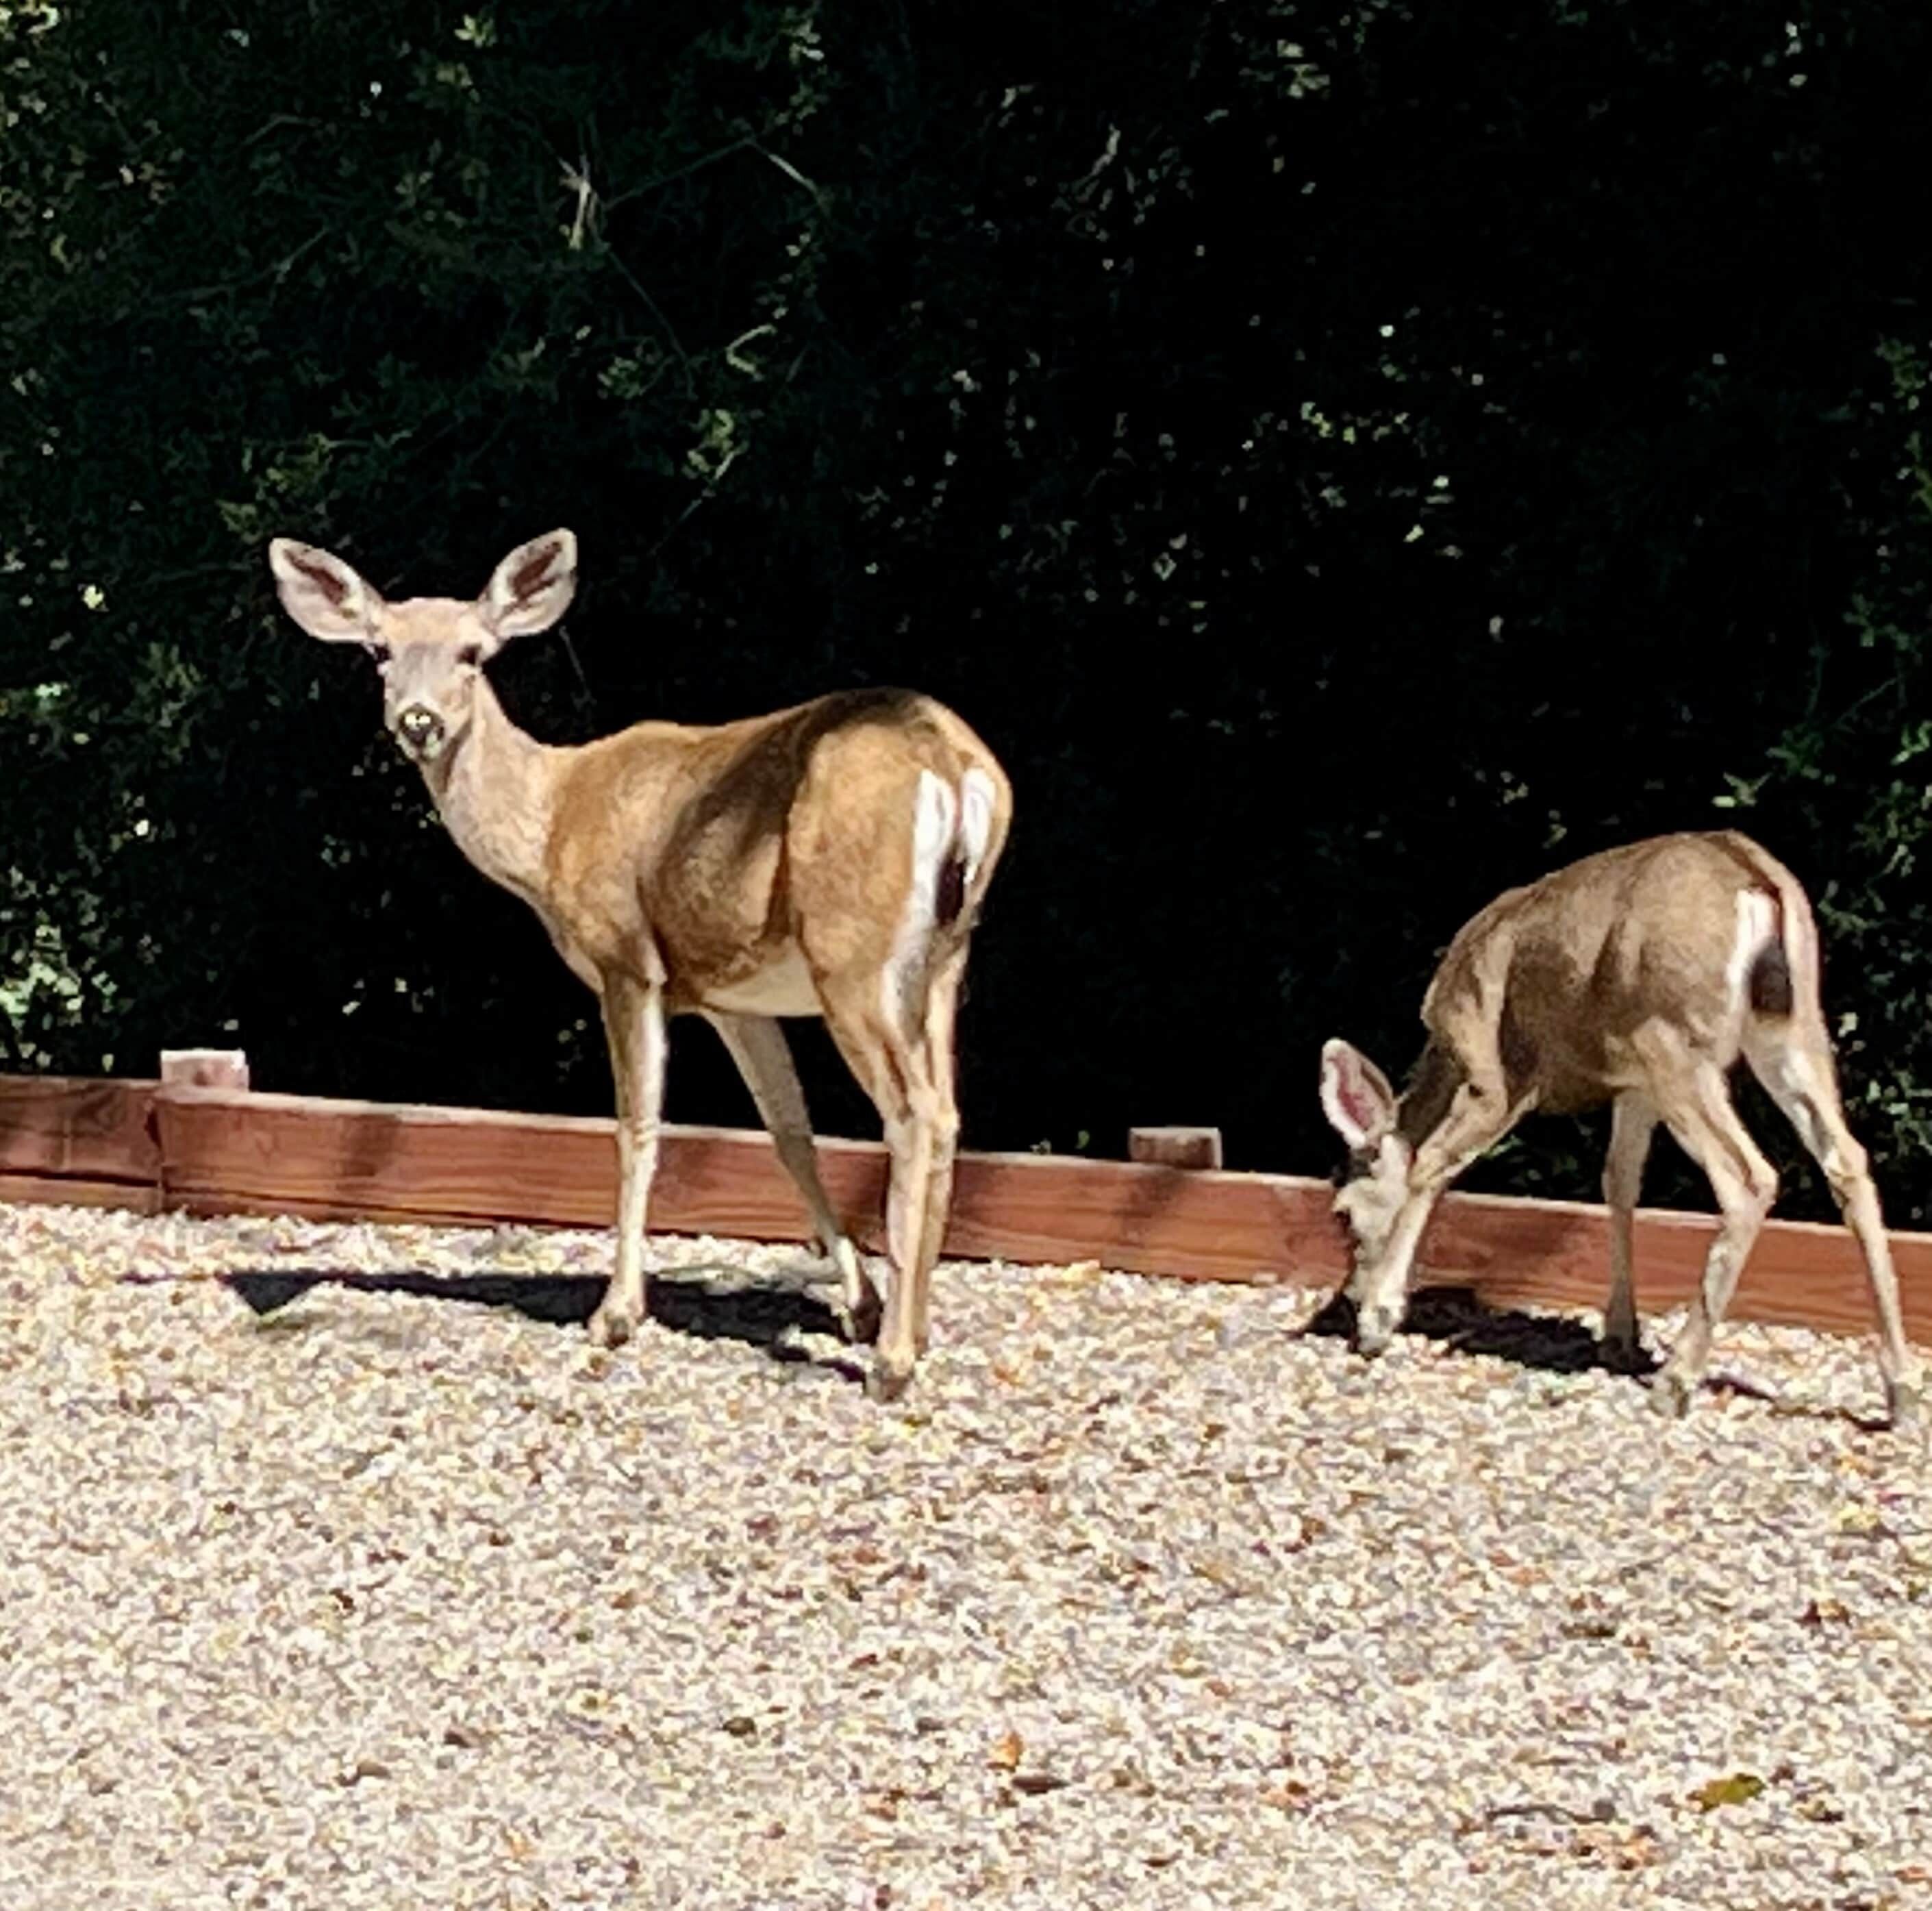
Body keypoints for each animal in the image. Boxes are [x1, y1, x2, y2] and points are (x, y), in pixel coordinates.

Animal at [269, 529, 1012, 1401]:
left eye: (473, 653)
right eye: (379, 650)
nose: (418, 721)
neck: (553, 821)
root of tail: (953, 767)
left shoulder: (625, 958)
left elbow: (638, 1127)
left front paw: (617, 1314)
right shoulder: (732, 995)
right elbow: (787, 1131)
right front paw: (856, 1303)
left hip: (852, 953)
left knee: (915, 1112)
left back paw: (893, 1362)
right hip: (946, 955)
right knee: (948, 1111)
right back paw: (913, 1329)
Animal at [1318, 831, 1921, 1425]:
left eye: (1342, 1213)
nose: (1346, 1296)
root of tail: (1755, 880)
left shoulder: (1494, 1071)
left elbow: (1430, 1165)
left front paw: (1378, 1319)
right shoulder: (1632, 1085)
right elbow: (1619, 1181)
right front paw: (1618, 1333)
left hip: (1675, 1040)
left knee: (1748, 1177)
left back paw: (1676, 1382)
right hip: (1792, 1027)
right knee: (1847, 1160)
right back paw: (1900, 1391)